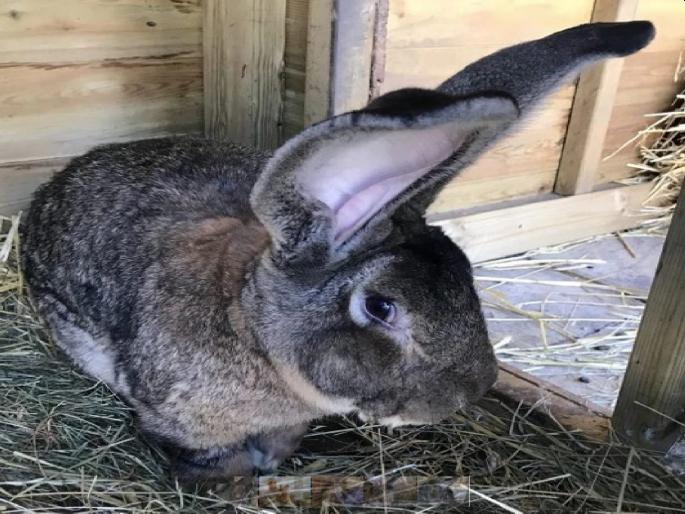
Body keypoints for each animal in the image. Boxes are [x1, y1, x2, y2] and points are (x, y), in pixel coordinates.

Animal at [20, 21, 655, 482]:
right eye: (381, 307)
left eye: (469, 275)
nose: (470, 391)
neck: (250, 328)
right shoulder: (181, 420)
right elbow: (209, 456)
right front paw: (237, 480)